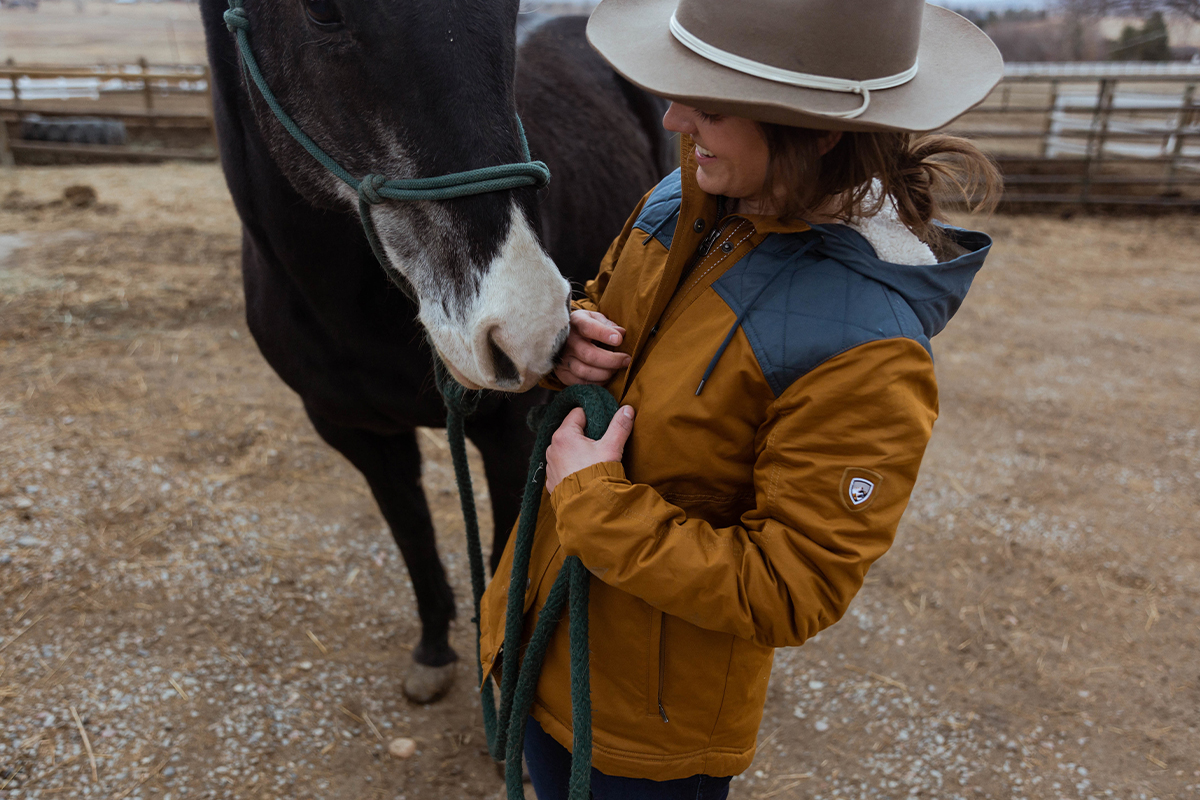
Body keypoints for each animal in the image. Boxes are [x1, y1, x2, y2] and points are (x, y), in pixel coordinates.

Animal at [201, 0, 672, 700]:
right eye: (322, 12)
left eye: (508, 8)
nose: (529, 328)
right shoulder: (358, 434)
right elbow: (412, 535)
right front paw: (432, 650)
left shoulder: (514, 435)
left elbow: (507, 556)